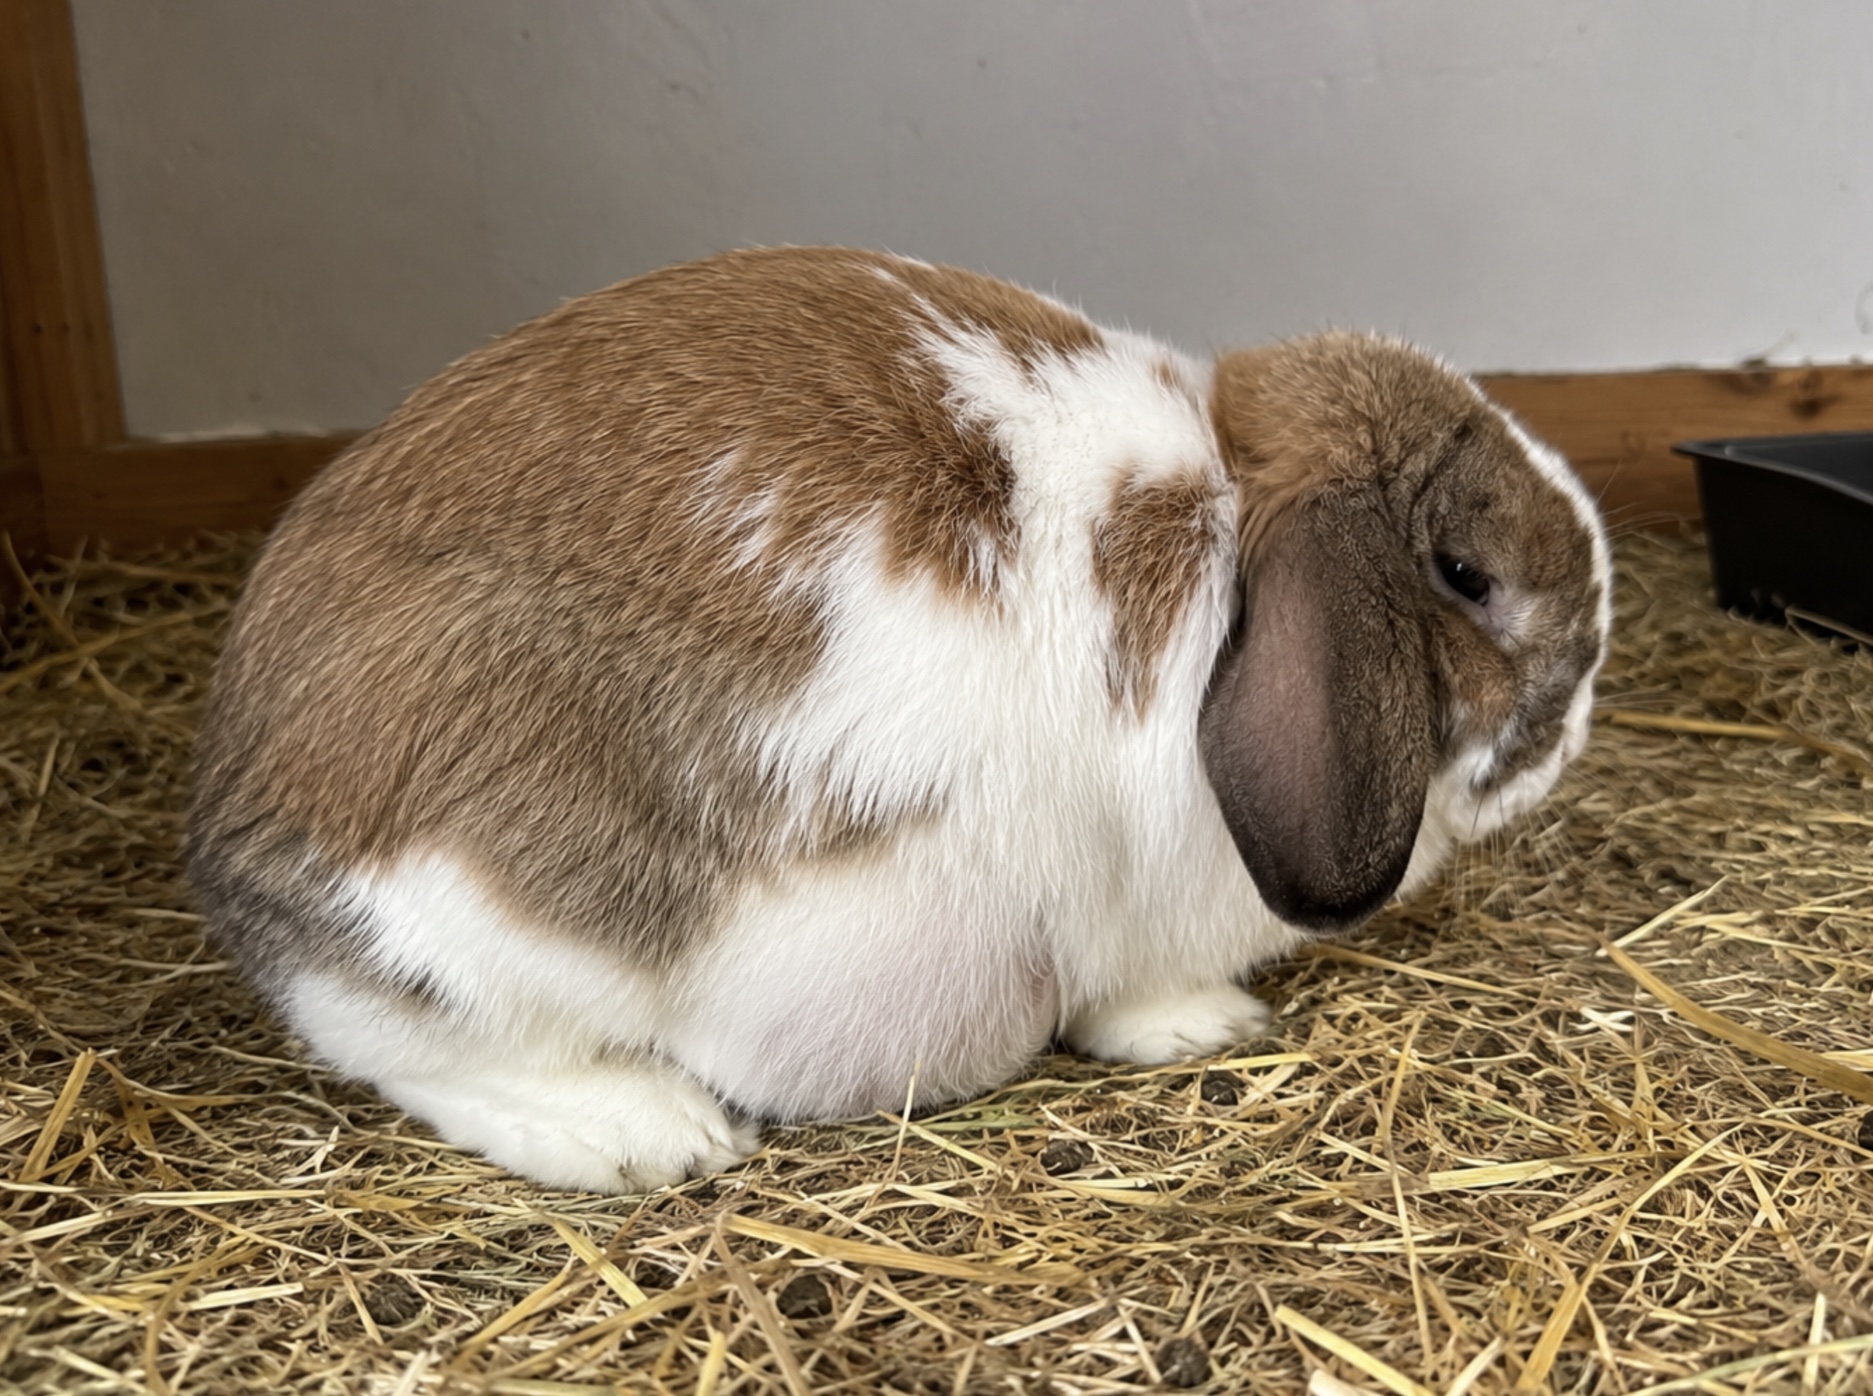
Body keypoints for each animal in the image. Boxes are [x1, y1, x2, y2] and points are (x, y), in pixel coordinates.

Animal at [189, 246, 1611, 1192]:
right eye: (1467, 575)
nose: (1588, 685)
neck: (1229, 558)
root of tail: (239, 837)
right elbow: (1135, 980)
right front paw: (1203, 1023)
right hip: (499, 930)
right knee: (423, 1048)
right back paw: (648, 1134)